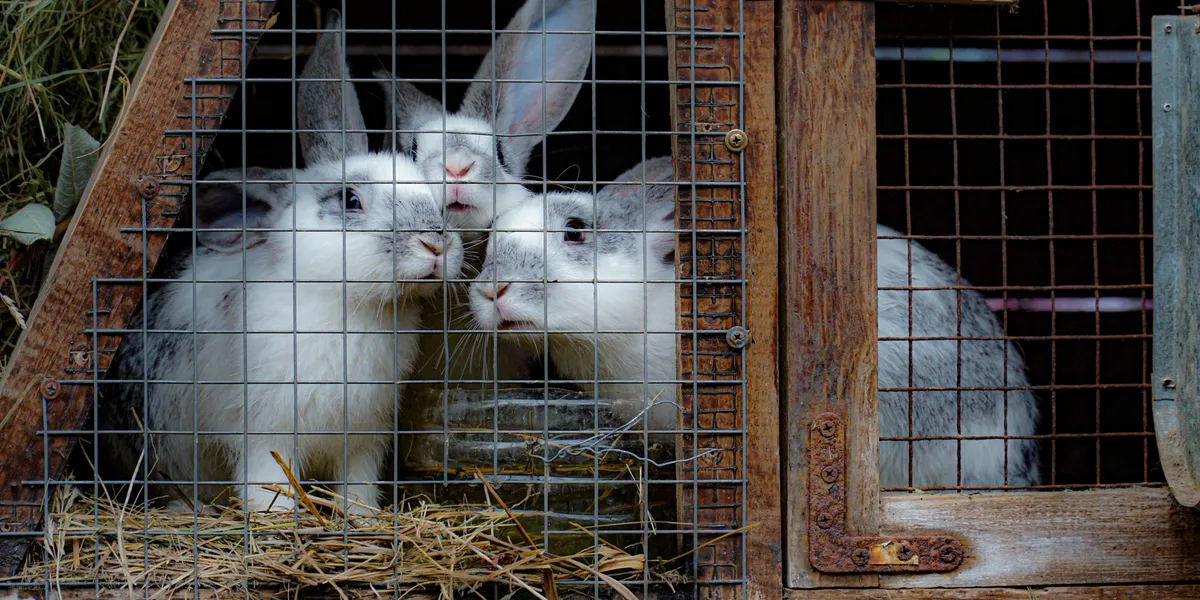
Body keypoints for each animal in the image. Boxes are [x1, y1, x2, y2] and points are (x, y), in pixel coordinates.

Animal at [98, 12, 464, 513]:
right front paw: (275, 517)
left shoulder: (363, 439)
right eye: (350, 200)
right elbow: (268, 485)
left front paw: (362, 515)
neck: (350, 306)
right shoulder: (265, 435)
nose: (435, 244)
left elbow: (358, 487)